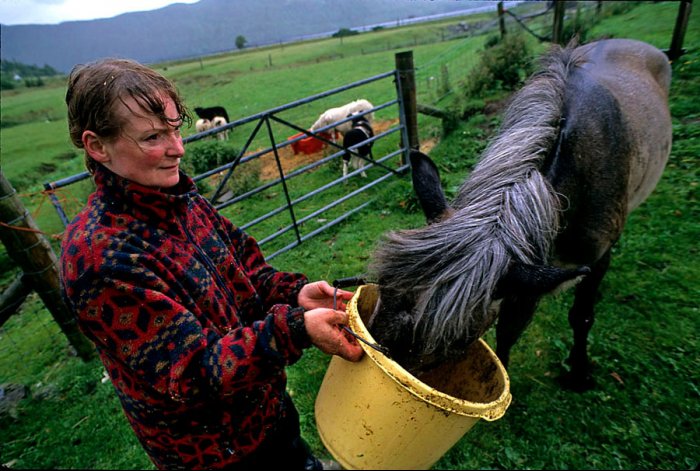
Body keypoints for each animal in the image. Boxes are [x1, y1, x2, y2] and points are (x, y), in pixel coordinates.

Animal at [366, 38, 672, 390]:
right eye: (383, 290)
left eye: (456, 341)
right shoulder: (528, 270)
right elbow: (511, 327)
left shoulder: (588, 257)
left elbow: (578, 317)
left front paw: (579, 372)